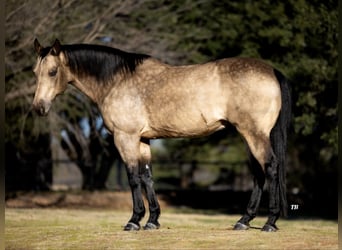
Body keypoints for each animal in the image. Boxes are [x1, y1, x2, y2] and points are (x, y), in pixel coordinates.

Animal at [32, 39, 292, 232]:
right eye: (35, 72)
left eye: (53, 72)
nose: (38, 108)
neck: (117, 81)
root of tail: (272, 71)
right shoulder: (143, 139)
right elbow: (147, 177)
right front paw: (152, 221)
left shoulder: (125, 137)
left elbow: (133, 177)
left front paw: (134, 221)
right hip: (249, 136)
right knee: (258, 173)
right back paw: (244, 221)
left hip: (254, 134)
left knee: (270, 167)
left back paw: (269, 223)